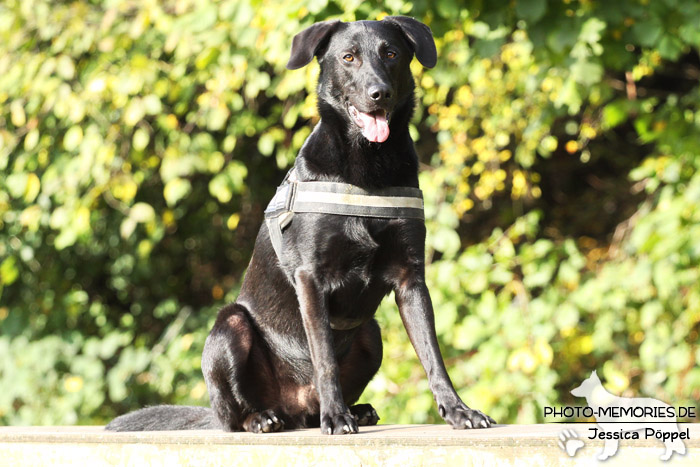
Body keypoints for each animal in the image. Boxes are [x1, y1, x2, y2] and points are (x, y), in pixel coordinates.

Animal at [106, 16, 494, 436]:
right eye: (349, 57)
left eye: (391, 54)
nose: (379, 94)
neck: (368, 169)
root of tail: (294, 407)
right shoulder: (311, 279)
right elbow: (323, 357)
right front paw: (336, 418)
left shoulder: (411, 279)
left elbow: (433, 355)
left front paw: (458, 410)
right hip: (230, 326)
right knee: (231, 416)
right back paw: (265, 417)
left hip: (371, 334)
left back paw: (353, 410)